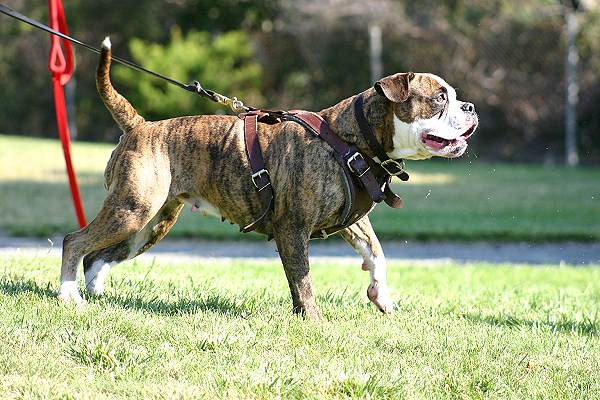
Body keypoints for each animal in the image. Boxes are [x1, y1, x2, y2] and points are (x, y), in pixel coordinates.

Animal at [57, 38, 478, 318]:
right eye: (440, 98)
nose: (470, 107)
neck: (349, 138)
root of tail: (140, 126)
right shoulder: (292, 228)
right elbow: (303, 281)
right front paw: (314, 322)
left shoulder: (351, 222)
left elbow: (376, 253)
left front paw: (381, 296)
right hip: (132, 209)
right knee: (74, 242)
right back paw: (68, 296)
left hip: (149, 223)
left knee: (98, 255)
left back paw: (96, 296)